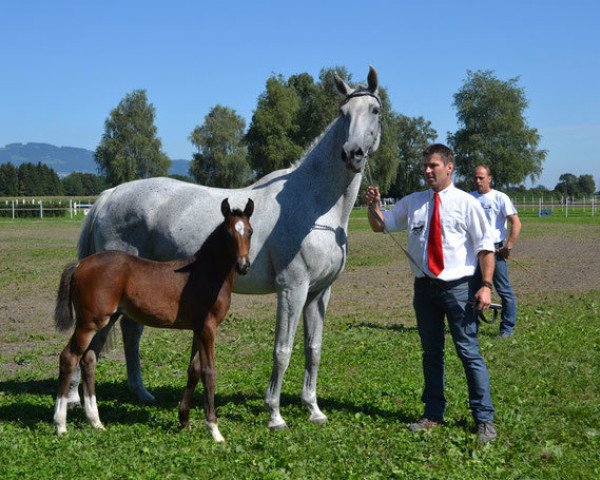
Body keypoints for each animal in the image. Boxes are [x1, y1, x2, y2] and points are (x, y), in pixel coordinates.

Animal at [52, 197, 255, 440]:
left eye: (250, 232)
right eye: (228, 233)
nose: (243, 266)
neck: (205, 272)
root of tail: (80, 264)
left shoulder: (198, 329)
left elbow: (194, 370)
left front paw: (184, 420)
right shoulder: (208, 327)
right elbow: (208, 372)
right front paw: (214, 430)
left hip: (105, 321)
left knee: (89, 359)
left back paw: (96, 422)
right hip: (88, 322)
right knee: (69, 357)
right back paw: (60, 424)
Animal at [69, 65, 380, 430]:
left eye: (375, 110)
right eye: (343, 113)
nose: (352, 154)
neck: (314, 207)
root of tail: (109, 196)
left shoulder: (319, 292)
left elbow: (313, 349)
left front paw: (313, 409)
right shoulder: (292, 288)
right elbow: (283, 349)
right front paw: (275, 414)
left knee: (131, 333)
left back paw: (140, 393)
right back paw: (78, 400)